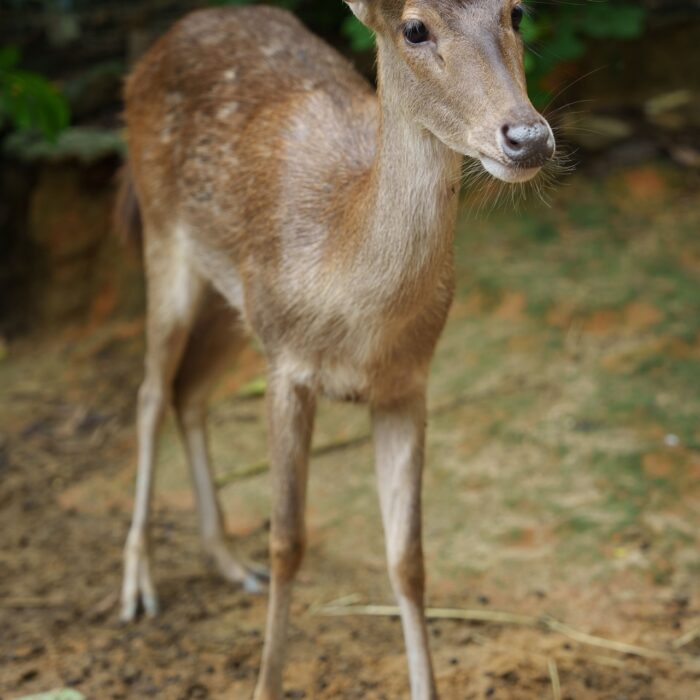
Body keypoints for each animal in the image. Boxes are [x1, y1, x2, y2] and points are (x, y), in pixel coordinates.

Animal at [115, 1, 555, 698]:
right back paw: (138, 586)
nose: (528, 137)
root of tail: (153, 53)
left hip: (234, 300)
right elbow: (287, 542)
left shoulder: (408, 384)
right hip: (163, 235)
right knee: (151, 392)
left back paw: (228, 562)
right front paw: (265, 683)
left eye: (515, 11)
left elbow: (408, 559)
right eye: (413, 27)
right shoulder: (287, 369)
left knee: (190, 392)